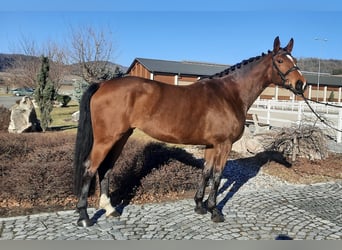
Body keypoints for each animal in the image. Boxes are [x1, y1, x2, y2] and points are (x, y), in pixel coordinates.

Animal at [73, 37, 306, 227]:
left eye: (294, 59)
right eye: (280, 61)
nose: (301, 84)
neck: (229, 94)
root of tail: (103, 84)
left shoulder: (211, 144)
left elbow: (206, 171)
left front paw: (199, 206)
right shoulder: (224, 144)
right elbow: (217, 175)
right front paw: (214, 211)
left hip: (121, 137)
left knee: (106, 169)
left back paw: (110, 209)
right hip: (106, 139)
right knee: (89, 168)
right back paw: (84, 217)